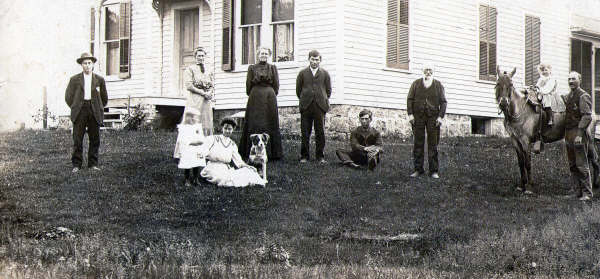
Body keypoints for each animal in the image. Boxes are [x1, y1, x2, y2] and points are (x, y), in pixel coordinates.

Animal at [492, 65, 568, 195]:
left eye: (511, 84)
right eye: (498, 83)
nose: (503, 103)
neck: (519, 111)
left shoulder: (525, 141)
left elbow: (528, 163)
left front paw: (529, 188)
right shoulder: (515, 140)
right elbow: (521, 162)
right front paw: (521, 185)